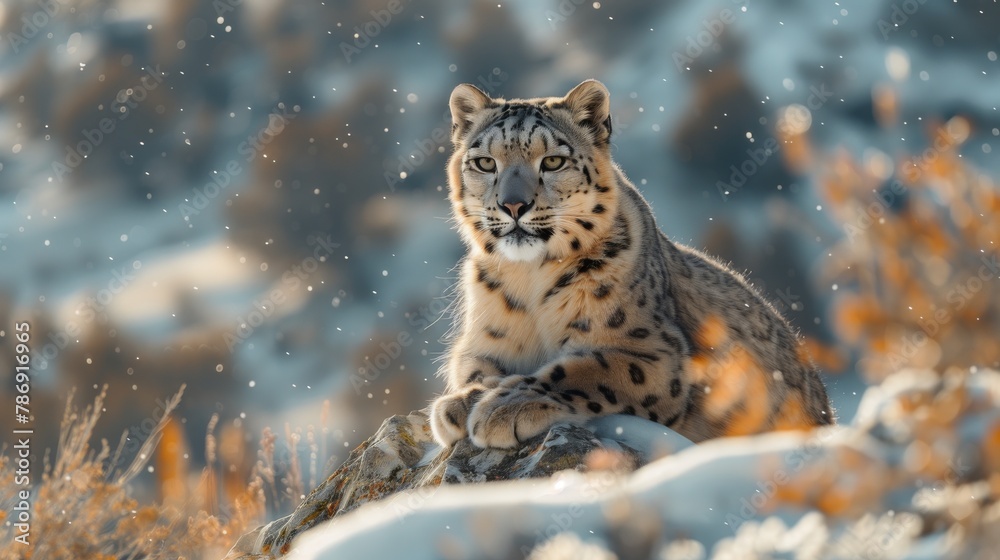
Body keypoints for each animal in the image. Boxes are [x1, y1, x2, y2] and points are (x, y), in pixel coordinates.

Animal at [429, 79, 834, 449]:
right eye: (485, 162)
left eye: (553, 161)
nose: (513, 205)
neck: (528, 277)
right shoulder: (482, 341)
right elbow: (472, 367)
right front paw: (464, 400)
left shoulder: (654, 352)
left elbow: (585, 370)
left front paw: (504, 406)